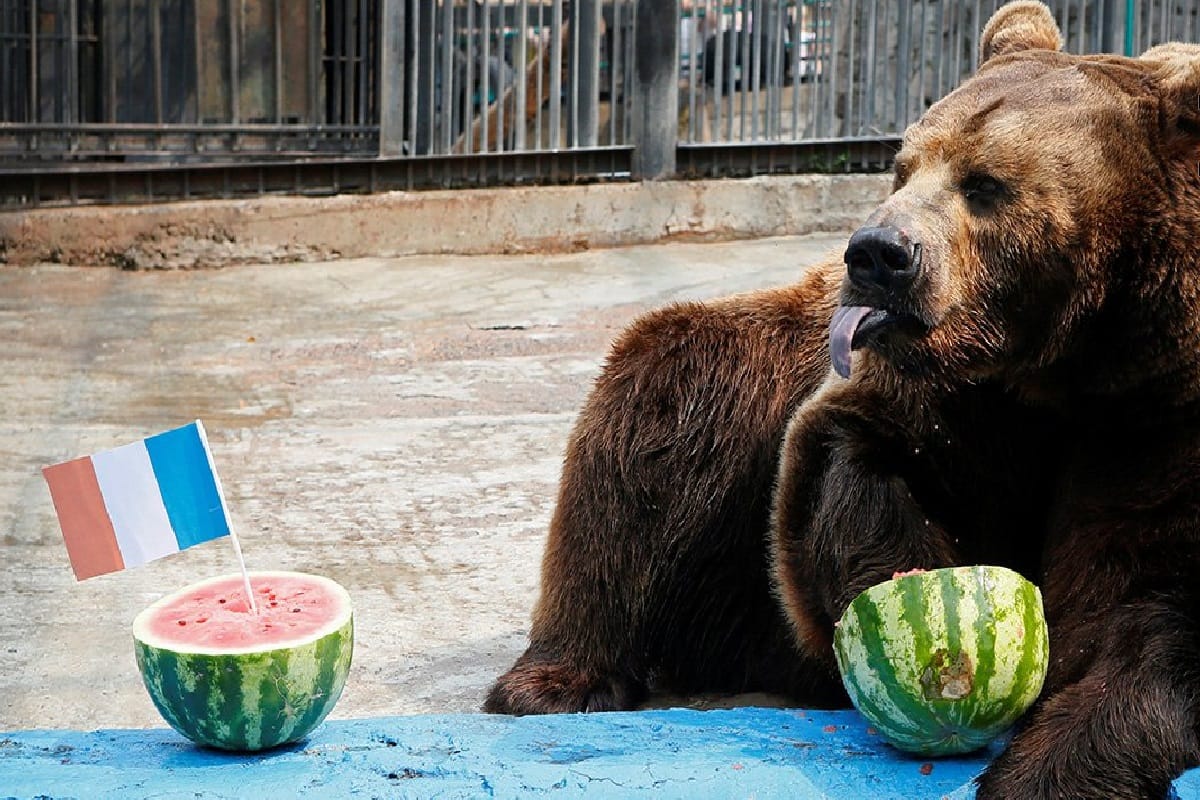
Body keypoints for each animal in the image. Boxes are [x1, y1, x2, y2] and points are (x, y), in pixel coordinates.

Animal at [486, 3, 1200, 797]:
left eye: (984, 183)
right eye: (903, 165)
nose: (878, 253)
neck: (1070, 356)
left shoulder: (1158, 421)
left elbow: (1153, 613)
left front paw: (1049, 767)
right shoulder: (948, 390)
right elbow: (855, 460)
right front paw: (918, 599)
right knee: (655, 414)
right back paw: (556, 680)